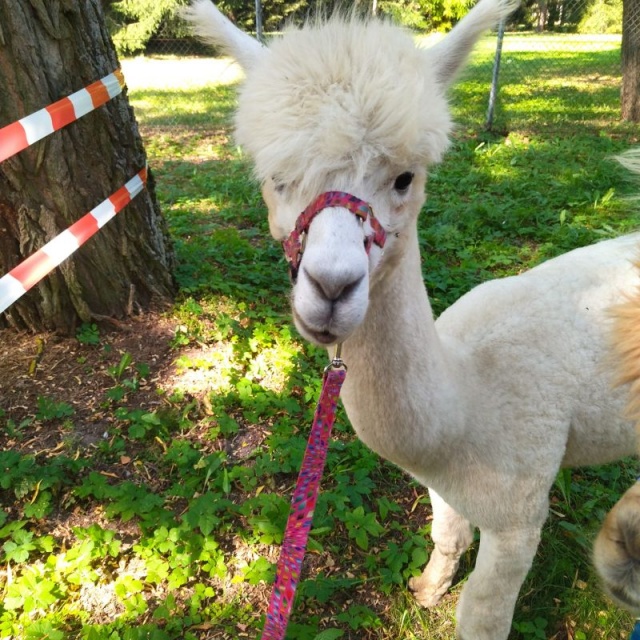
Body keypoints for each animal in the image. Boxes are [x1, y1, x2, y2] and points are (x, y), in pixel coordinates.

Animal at [184, 1, 640, 637]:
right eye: (276, 178)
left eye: (405, 178)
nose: (332, 287)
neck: (468, 405)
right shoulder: (447, 488)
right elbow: (447, 535)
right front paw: (426, 588)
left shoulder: (520, 513)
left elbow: (482, 615)